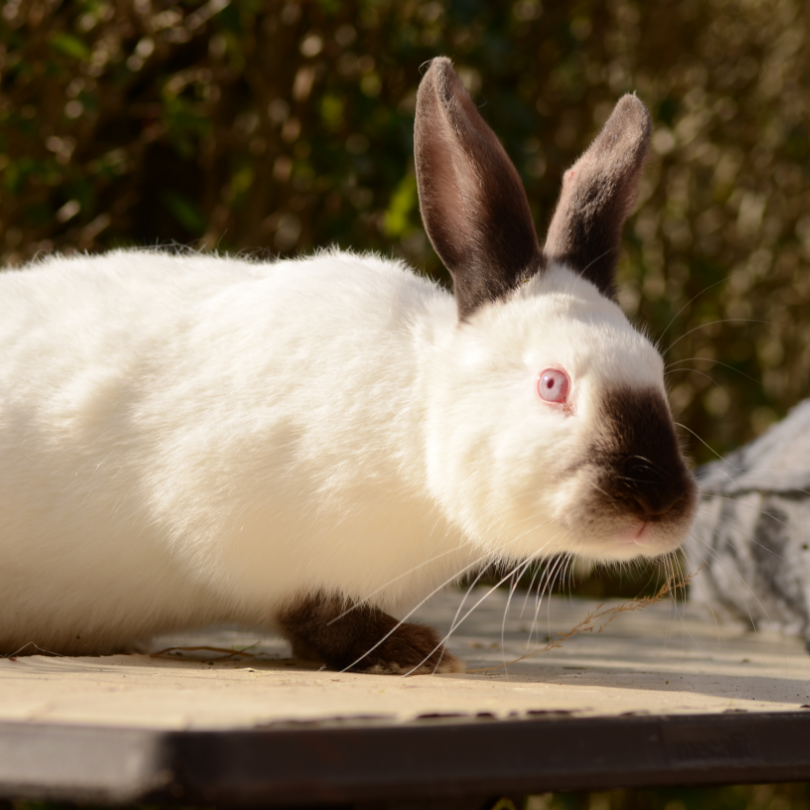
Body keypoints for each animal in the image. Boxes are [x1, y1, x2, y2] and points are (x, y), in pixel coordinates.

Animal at [0, 57, 697, 673]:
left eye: (658, 371)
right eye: (553, 384)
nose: (657, 506)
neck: (415, 430)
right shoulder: (239, 529)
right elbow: (314, 613)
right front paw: (411, 653)